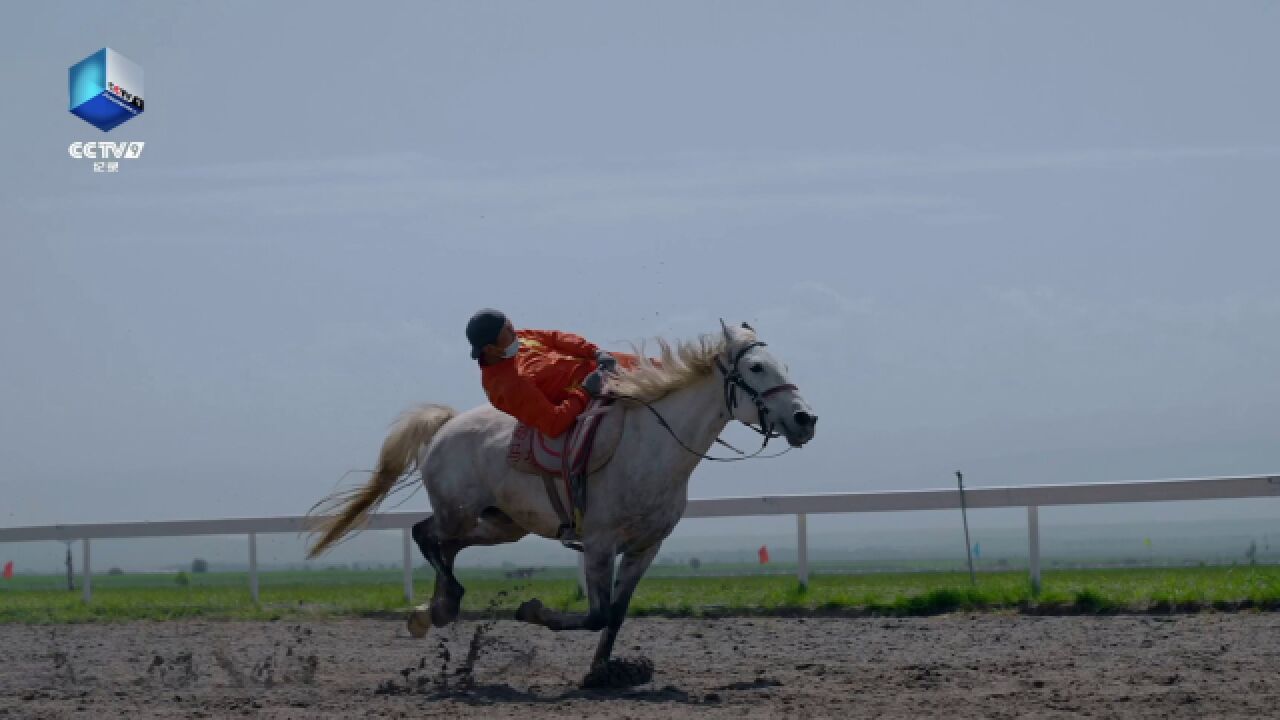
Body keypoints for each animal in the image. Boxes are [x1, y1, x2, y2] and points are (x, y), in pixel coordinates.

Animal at [304, 322, 814, 681]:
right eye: (756, 368)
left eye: (785, 365)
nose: (805, 420)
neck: (650, 445)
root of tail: (446, 424)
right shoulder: (600, 544)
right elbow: (596, 614)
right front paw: (532, 612)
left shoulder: (646, 547)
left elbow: (617, 614)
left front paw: (601, 673)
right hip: (460, 513)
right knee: (426, 534)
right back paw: (443, 605)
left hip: (502, 525)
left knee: (443, 545)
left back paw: (432, 610)